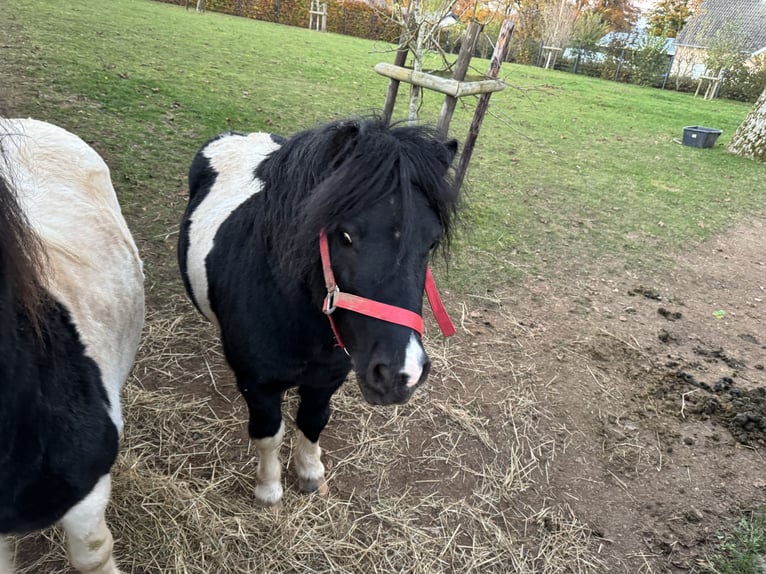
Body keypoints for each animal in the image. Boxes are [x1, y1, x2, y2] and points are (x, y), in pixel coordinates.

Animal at [177, 119, 460, 506]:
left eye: (430, 242)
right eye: (345, 235)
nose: (401, 374)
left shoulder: (328, 378)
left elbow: (313, 421)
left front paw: (311, 475)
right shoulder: (258, 384)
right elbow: (269, 433)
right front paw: (269, 491)